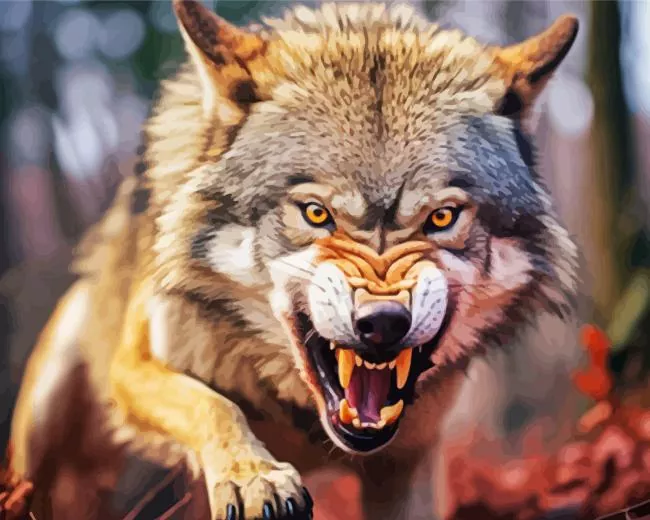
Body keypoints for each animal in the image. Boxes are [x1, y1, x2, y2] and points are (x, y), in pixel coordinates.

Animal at [8, 1, 579, 519]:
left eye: (442, 217)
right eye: (315, 213)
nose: (383, 323)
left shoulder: (407, 466)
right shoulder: (133, 365)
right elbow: (214, 404)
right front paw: (254, 477)